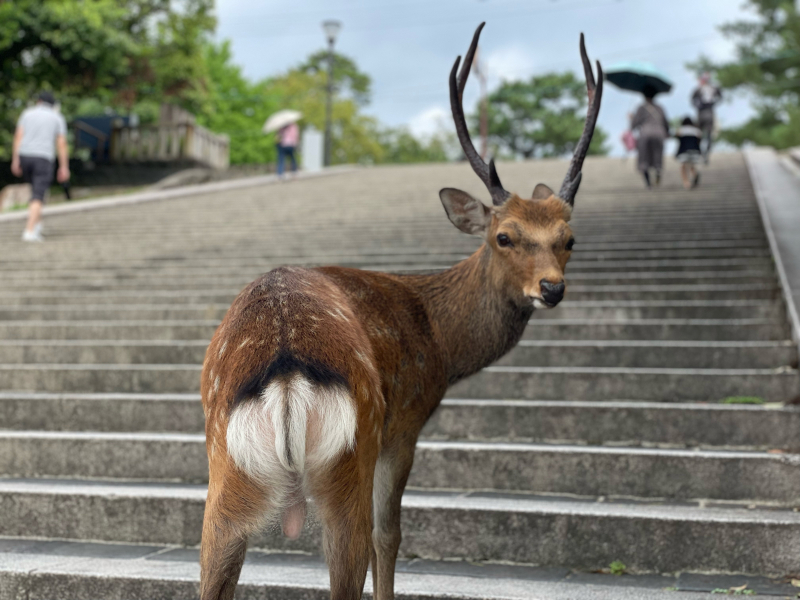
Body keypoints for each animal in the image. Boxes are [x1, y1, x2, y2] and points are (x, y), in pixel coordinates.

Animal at [198, 22, 600, 600]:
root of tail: (284, 372)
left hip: (224, 465)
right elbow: (389, 535)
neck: (441, 341)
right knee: (358, 548)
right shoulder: (404, 422)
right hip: (349, 451)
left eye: (569, 239)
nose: (552, 288)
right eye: (504, 236)